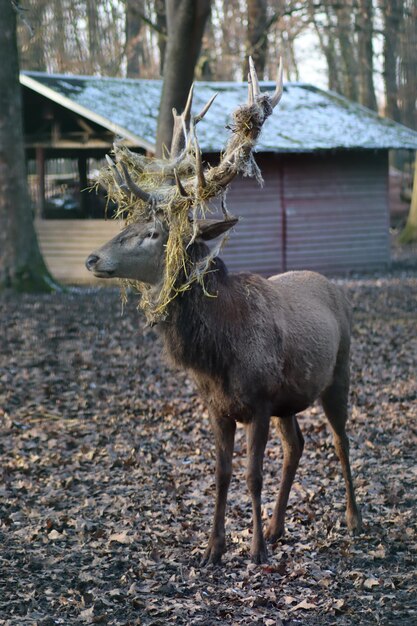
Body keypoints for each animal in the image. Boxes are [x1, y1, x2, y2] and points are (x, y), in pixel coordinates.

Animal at [85, 59, 360, 564]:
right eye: (129, 222)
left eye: (154, 232)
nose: (92, 258)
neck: (217, 356)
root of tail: (332, 285)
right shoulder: (219, 407)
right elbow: (221, 475)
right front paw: (213, 548)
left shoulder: (260, 399)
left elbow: (252, 474)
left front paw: (254, 552)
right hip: (291, 394)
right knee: (297, 445)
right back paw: (277, 526)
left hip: (339, 371)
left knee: (340, 439)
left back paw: (352, 519)